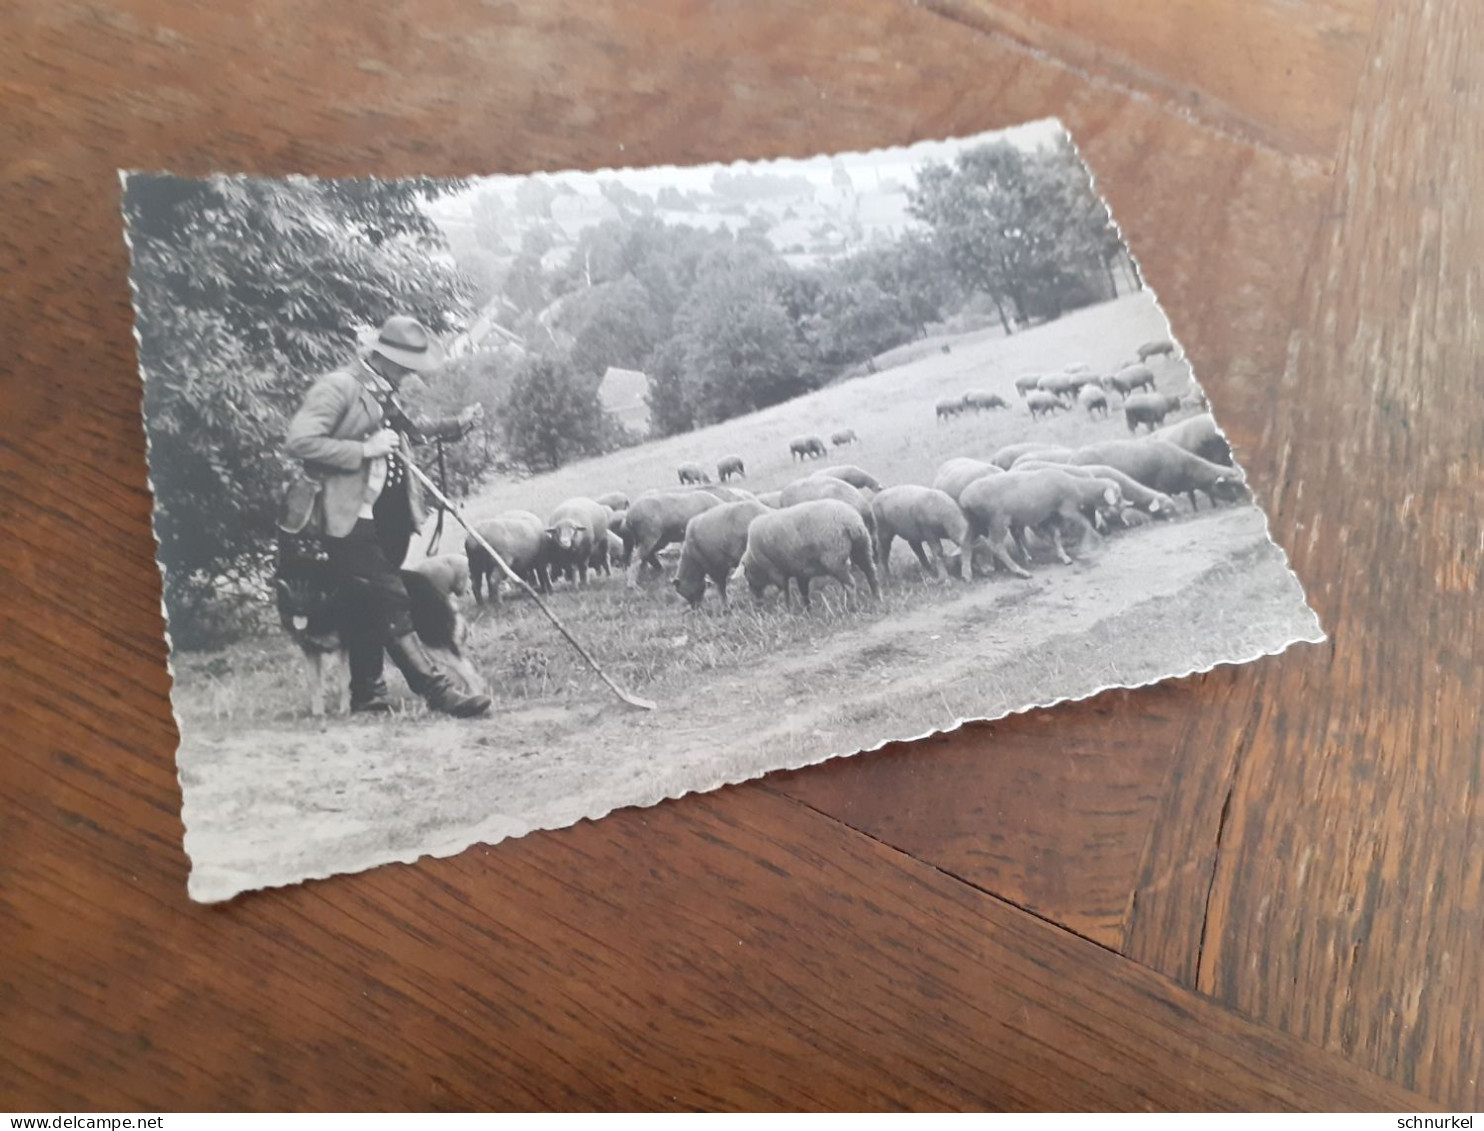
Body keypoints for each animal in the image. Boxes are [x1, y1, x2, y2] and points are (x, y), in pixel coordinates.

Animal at [274, 534, 486, 712]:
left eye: (310, 586)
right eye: (292, 584)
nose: (298, 610)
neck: (327, 600)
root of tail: (433, 586)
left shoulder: (344, 648)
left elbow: (343, 682)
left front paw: (344, 711)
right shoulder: (310, 651)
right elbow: (315, 684)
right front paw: (318, 713)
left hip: (433, 640)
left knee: (469, 671)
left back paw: (475, 698)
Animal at [742, 498, 878, 608]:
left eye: (747, 574)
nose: (758, 603)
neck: (754, 559)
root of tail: (850, 520)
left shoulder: (777, 572)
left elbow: (785, 592)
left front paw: (788, 609)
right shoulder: (800, 571)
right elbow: (804, 593)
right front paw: (808, 610)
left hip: (836, 560)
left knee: (850, 584)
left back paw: (852, 607)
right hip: (862, 549)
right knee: (871, 574)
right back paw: (876, 599)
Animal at [1062, 439, 1246, 507]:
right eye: (1229, 486)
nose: (1237, 500)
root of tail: (1072, 458)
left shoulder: (1187, 486)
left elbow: (1193, 497)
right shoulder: (1163, 486)